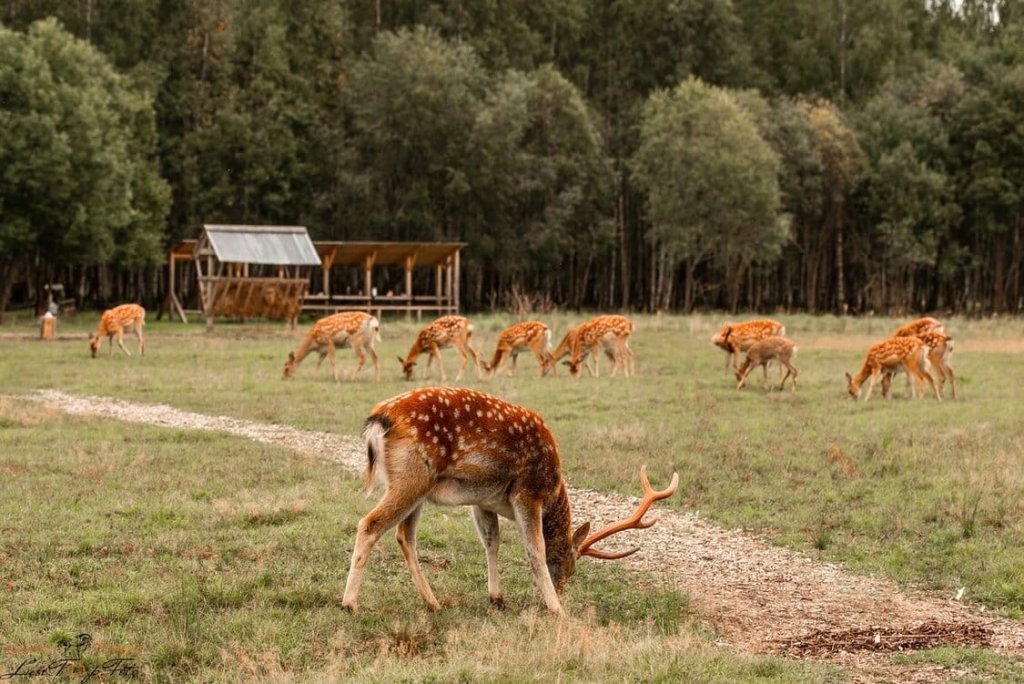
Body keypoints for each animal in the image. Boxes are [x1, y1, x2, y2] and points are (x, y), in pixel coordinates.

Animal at [344, 387, 679, 618]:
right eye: (569, 565)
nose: (562, 591)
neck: (553, 487)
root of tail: (379, 420)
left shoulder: (483, 500)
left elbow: (492, 541)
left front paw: (496, 598)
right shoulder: (527, 492)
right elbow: (535, 549)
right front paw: (557, 611)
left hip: (417, 488)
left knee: (404, 535)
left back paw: (433, 602)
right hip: (412, 478)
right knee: (370, 524)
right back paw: (350, 603)